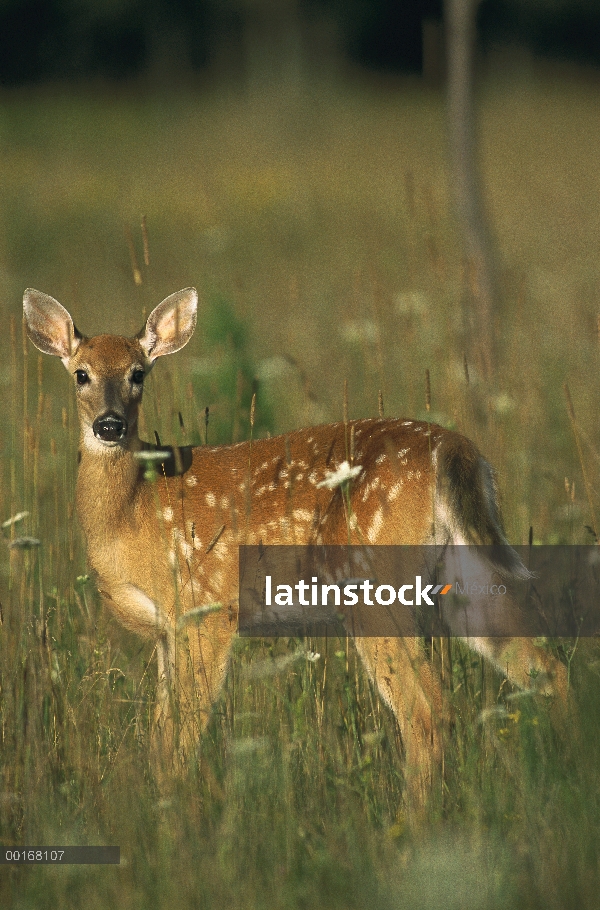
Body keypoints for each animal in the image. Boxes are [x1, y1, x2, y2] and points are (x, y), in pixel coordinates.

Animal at [23, 288, 568, 808]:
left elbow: (180, 740)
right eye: (81, 374)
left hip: (372, 582)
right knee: (547, 669)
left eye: (138, 374)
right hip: (464, 574)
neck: (133, 512)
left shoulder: (206, 609)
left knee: (427, 708)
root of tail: (456, 450)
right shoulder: (164, 632)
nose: (110, 425)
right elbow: (159, 743)